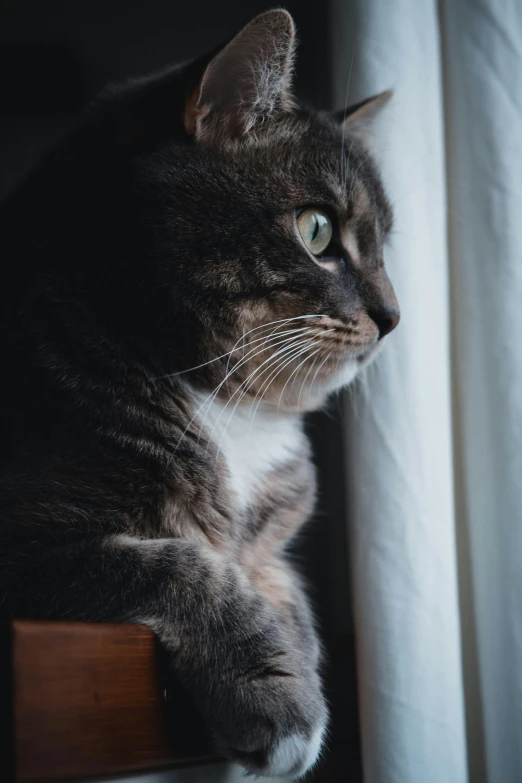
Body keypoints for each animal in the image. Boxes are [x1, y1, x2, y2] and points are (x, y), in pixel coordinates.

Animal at [0, 9, 398, 780]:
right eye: (317, 229)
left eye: (384, 244)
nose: (395, 317)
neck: (232, 408)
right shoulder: (29, 538)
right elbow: (179, 566)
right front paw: (281, 708)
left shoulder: (272, 543)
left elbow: (286, 590)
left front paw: (299, 670)